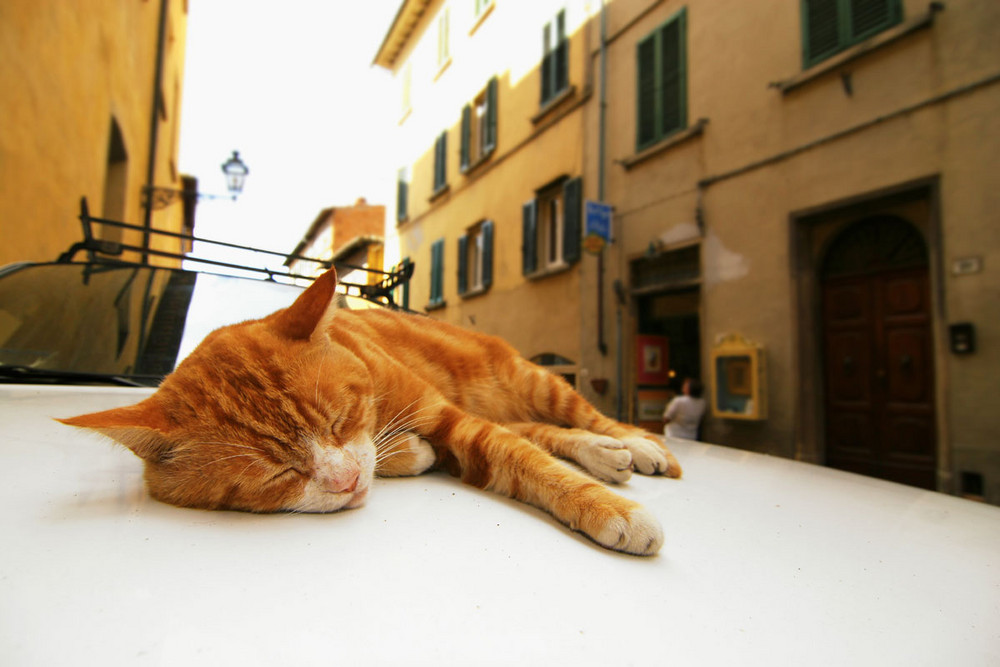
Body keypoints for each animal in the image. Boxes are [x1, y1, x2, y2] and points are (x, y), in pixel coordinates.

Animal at [60, 268, 680, 556]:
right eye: (278, 474)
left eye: (337, 420)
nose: (345, 481)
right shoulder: (454, 433)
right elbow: (494, 452)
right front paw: (408, 454)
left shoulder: (451, 418)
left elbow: (527, 462)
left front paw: (610, 509)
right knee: (540, 430)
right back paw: (604, 454)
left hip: (533, 380)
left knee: (578, 417)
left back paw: (639, 444)